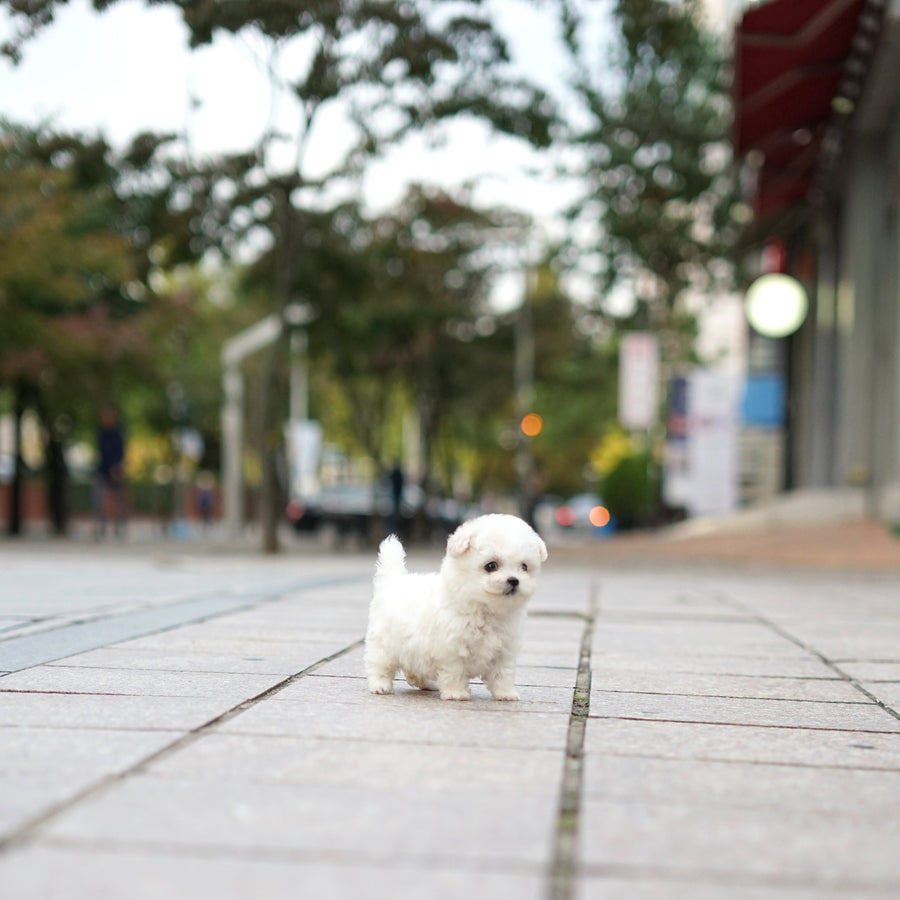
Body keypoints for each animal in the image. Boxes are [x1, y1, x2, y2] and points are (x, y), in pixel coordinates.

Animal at [366, 512, 548, 704]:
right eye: (491, 565)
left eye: (524, 567)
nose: (514, 580)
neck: (484, 610)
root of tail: (392, 580)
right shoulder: (451, 650)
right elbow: (455, 673)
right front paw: (456, 693)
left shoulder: (504, 650)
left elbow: (503, 674)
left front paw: (505, 693)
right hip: (383, 643)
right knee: (379, 665)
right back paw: (380, 686)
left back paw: (427, 684)